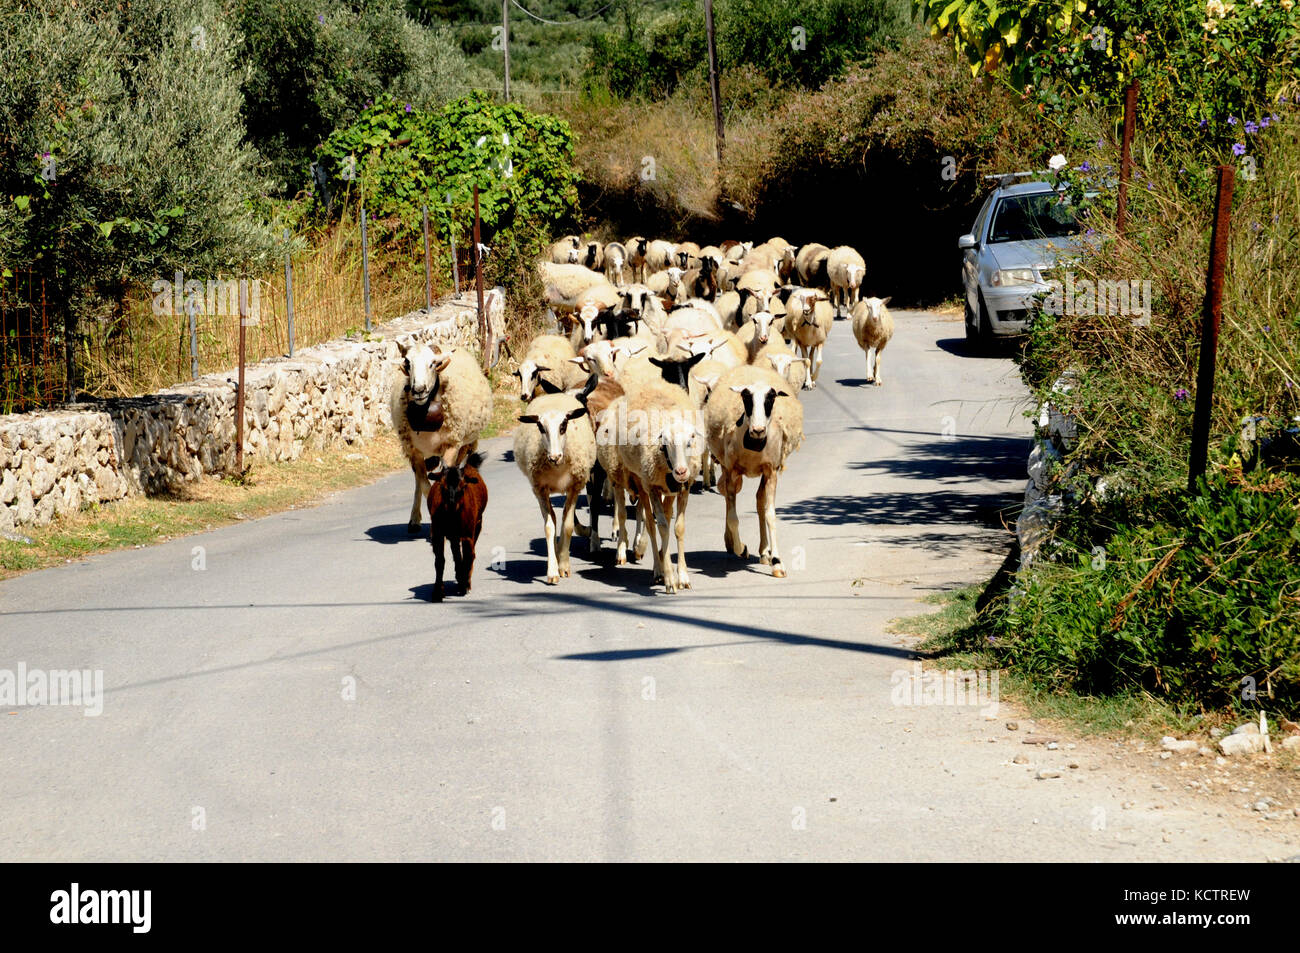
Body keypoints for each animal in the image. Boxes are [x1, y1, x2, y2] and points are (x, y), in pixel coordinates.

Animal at [390, 340, 491, 535]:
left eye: (433, 364)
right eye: (407, 363)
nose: (418, 390)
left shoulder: (451, 446)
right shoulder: (414, 451)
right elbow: (424, 485)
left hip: (463, 445)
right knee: (418, 480)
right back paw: (414, 520)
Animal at [426, 449, 488, 598]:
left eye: (464, 486)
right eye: (441, 485)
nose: (452, 504)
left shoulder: (467, 535)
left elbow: (468, 557)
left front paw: (465, 584)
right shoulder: (437, 534)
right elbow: (440, 561)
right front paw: (437, 592)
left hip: (477, 525)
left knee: (470, 555)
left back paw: (464, 581)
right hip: (453, 535)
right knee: (456, 554)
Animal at [517, 392, 598, 579]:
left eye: (564, 426)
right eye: (540, 427)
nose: (554, 457)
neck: (557, 469)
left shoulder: (574, 487)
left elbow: (567, 526)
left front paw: (564, 565)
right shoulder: (540, 489)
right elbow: (549, 527)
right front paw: (553, 570)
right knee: (554, 519)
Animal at [702, 361, 800, 572]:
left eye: (771, 398)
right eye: (746, 397)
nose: (758, 430)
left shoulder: (771, 471)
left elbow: (770, 513)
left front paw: (777, 561)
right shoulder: (732, 470)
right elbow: (733, 518)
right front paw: (741, 548)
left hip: (763, 472)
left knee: (759, 500)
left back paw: (764, 551)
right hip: (726, 467)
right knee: (729, 500)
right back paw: (732, 543)